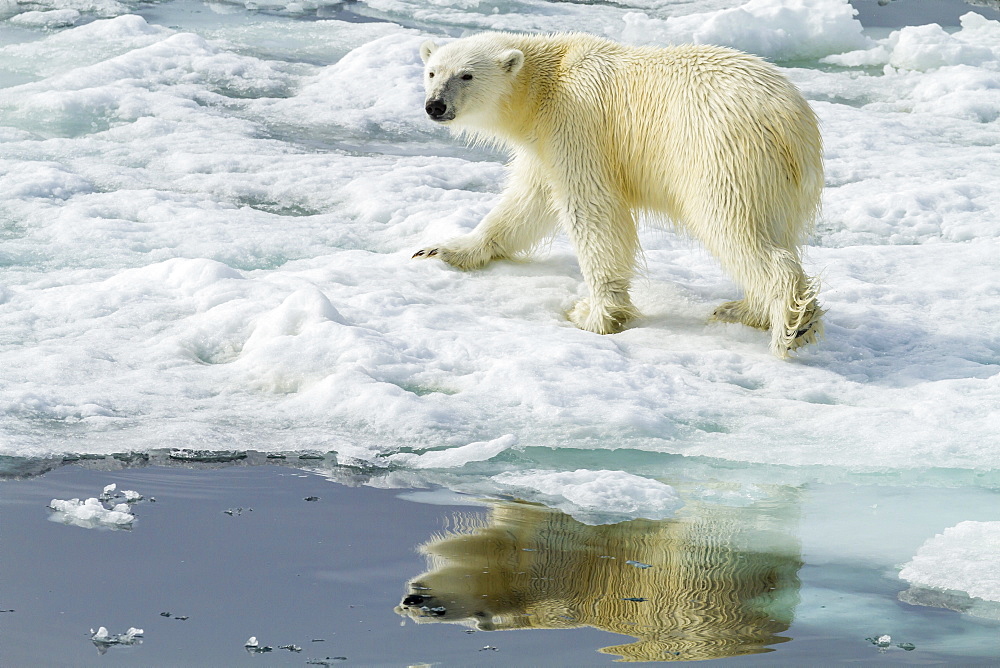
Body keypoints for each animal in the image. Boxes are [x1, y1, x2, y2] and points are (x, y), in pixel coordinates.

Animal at [416, 32, 828, 354]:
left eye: (466, 75)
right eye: (433, 71)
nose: (435, 105)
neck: (546, 83)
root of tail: (795, 124)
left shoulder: (576, 123)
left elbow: (592, 209)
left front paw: (594, 315)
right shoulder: (545, 142)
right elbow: (527, 200)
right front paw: (443, 249)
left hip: (723, 154)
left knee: (734, 227)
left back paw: (792, 324)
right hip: (778, 181)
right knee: (773, 232)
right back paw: (743, 309)